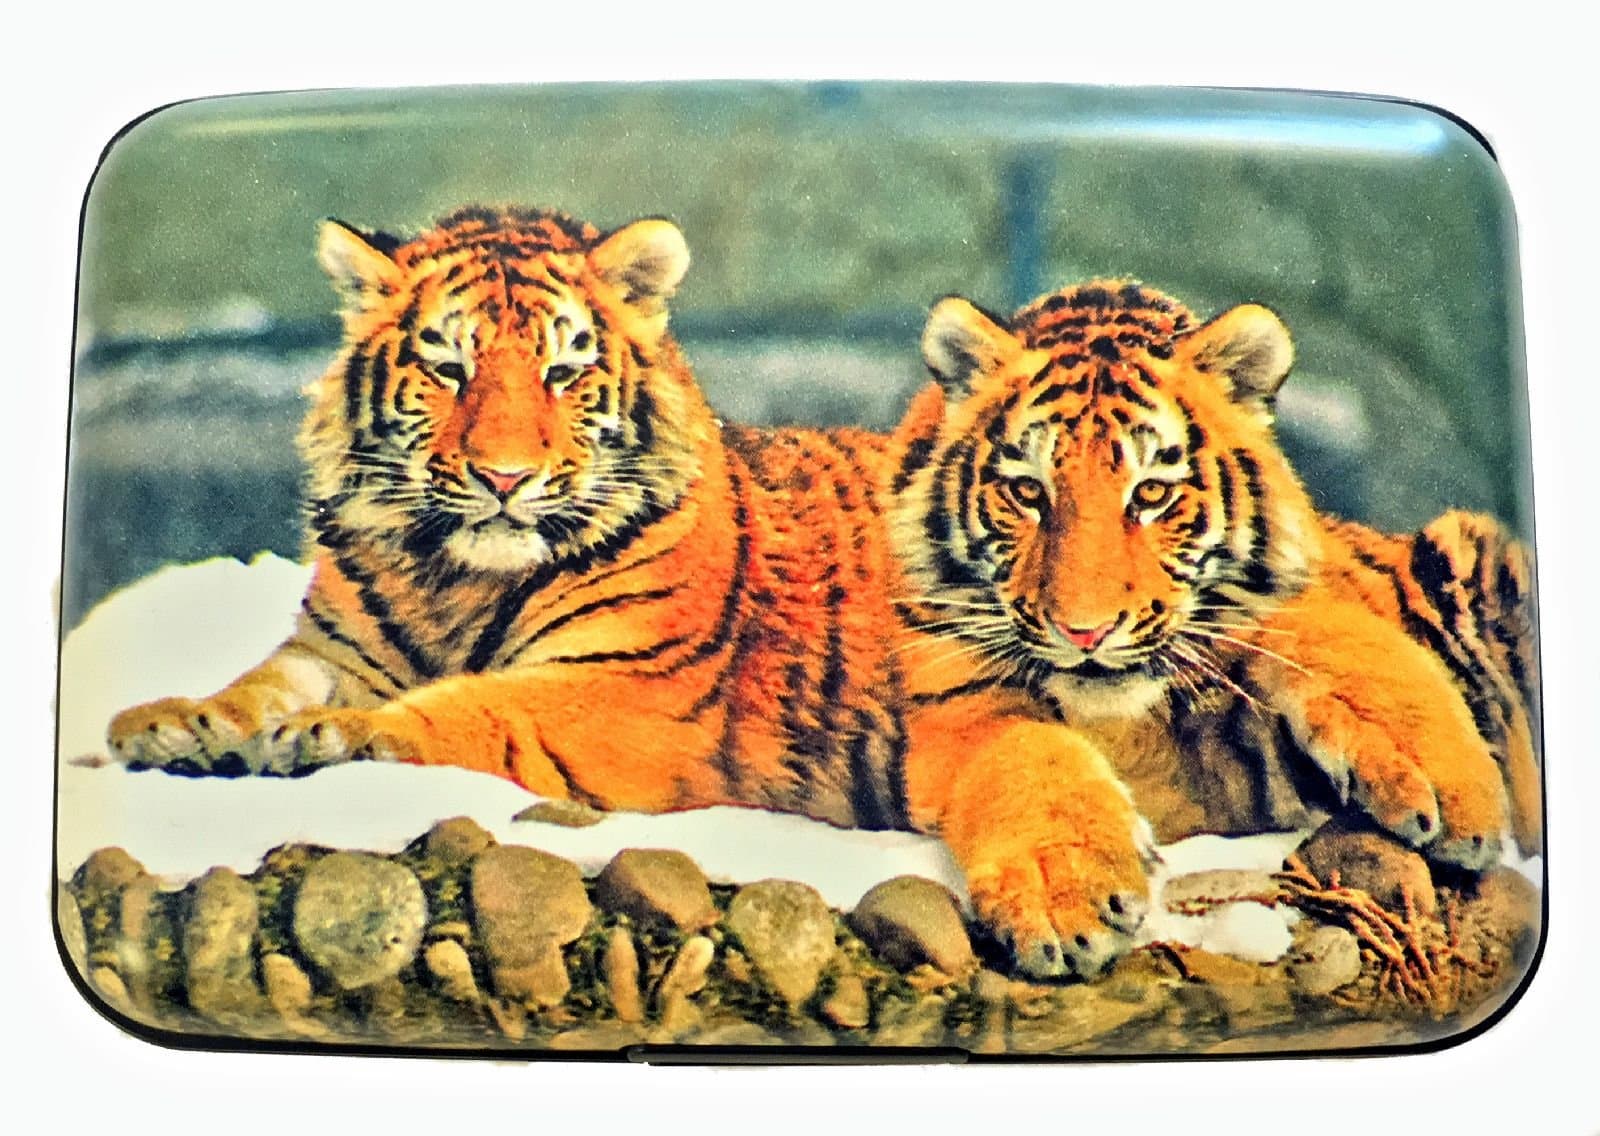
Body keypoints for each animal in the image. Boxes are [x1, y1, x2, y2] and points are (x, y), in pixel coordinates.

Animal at [107, 207, 1158, 980]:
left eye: (563, 372)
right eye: (447, 369)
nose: (503, 476)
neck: (454, 575)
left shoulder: (624, 688)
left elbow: (474, 709)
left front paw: (341, 737)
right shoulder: (333, 650)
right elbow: (259, 685)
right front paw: (177, 724)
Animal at [888, 279, 1542, 928]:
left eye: (1152, 493)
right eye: (1027, 491)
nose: (1084, 633)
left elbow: (1321, 623)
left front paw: (1456, 790)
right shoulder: (950, 696)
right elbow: (1021, 749)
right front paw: (1067, 890)